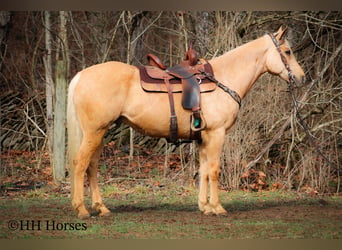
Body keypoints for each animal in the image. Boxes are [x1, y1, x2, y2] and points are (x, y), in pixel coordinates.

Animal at [67, 24, 304, 218]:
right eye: (288, 52)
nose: (301, 78)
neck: (223, 79)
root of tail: (81, 76)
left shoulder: (203, 138)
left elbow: (204, 170)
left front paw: (205, 207)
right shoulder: (216, 134)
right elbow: (214, 170)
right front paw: (217, 207)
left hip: (99, 133)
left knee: (92, 166)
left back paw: (101, 208)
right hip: (94, 132)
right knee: (80, 164)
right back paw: (82, 209)